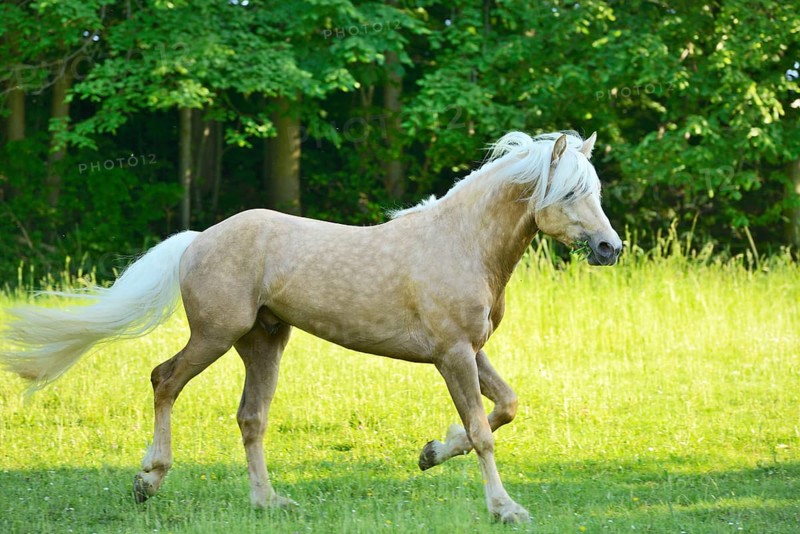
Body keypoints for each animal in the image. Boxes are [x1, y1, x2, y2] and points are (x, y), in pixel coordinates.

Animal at [0, 130, 621, 523]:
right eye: (570, 192)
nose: (610, 249)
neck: (461, 243)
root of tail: (197, 240)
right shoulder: (452, 354)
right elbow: (483, 430)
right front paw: (505, 508)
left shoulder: (470, 350)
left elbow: (505, 407)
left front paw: (429, 452)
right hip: (215, 335)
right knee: (164, 380)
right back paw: (148, 480)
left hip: (263, 341)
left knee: (250, 418)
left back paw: (268, 504)